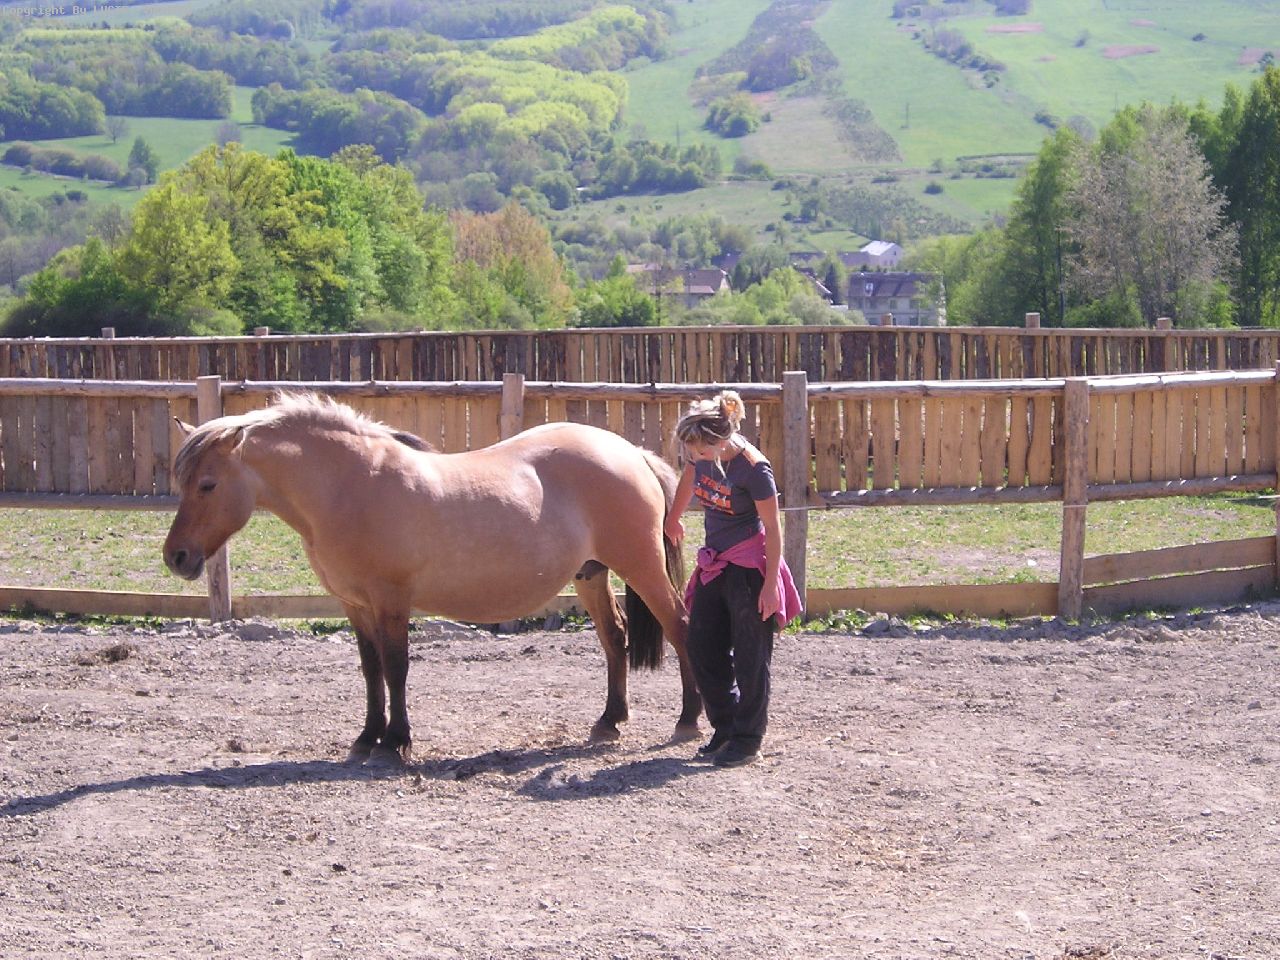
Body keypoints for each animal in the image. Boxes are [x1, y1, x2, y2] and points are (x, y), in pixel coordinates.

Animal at [162, 392, 702, 764]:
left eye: (207, 484)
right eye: (182, 482)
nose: (176, 557)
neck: (350, 487)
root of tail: (629, 452)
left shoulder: (391, 600)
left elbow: (396, 667)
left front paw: (395, 742)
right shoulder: (355, 605)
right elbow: (371, 670)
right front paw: (367, 737)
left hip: (642, 567)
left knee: (679, 627)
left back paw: (688, 720)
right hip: (591, 575)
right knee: (616, 638)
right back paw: (610, 721)